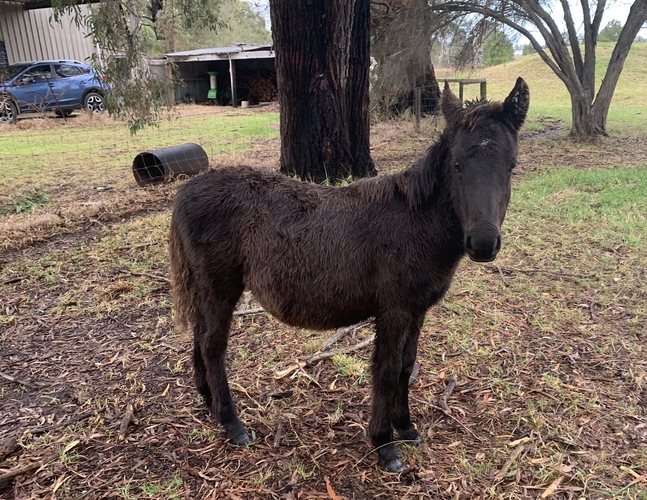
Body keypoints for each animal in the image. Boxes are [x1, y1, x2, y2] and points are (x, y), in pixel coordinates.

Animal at [169, 78, 529, 472]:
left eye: (511, 165)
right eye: (457, 164)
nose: (483, 244)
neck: (414, 222)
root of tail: (186, 189)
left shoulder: (417, 310)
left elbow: (407, 365)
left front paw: (406, 427)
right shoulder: (393, 310)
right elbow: (386, 369)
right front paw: (384, 444)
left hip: (207, 290)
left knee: (200, 336)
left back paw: (209, 403)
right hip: (220, 286)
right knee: (213, 345)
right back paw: (233, 424)